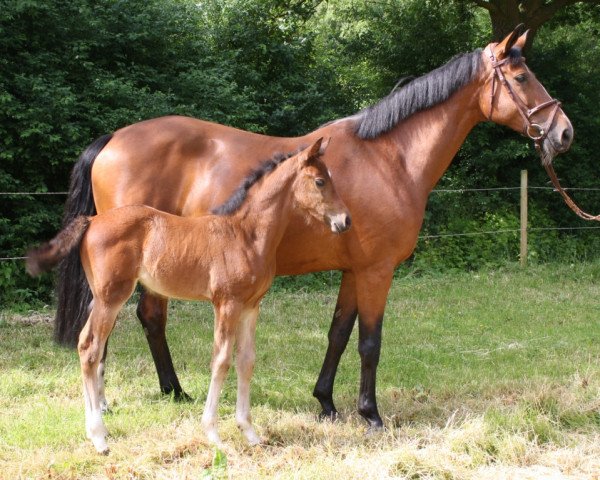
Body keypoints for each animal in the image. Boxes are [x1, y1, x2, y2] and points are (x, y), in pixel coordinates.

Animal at [27, 140, 352, 454]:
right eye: (320, 181)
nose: (345, 220)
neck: (245, 234)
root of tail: (91, 222)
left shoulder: (251, 306)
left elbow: (246, 361)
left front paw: (250, 433)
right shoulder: (226, 304)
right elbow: (221, 360)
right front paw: (213, 434)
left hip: (103, 296)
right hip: (112, 296)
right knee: (89, 346)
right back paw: (98, 437)